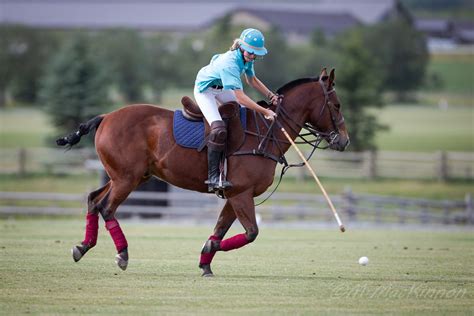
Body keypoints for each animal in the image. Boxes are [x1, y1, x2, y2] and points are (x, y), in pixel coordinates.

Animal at [58, 67, 348, 276]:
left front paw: (205, 262)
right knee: (107, 207)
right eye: (336, 105)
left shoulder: (235, 194)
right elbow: (250, 233)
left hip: (127, 175)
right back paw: (122, 254)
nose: (344, 141)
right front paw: (207, 251)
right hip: (127, 178)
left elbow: (221, 228)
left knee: (93, 199)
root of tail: (106, 117)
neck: (267, 133)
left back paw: (82, 247)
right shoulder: (241, 194)